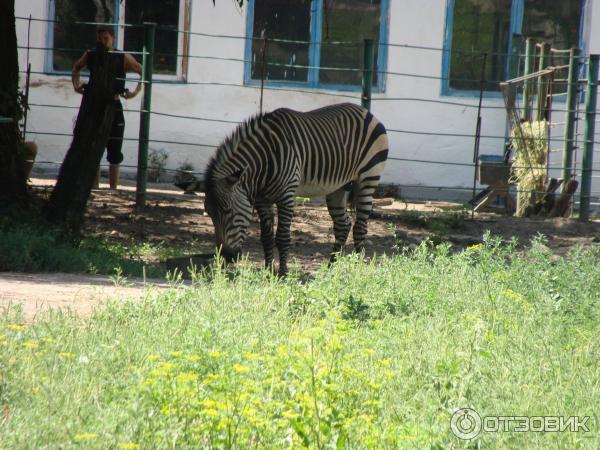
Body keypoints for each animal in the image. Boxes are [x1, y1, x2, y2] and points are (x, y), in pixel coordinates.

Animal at [204, 103, 386, 276]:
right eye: (210, 214)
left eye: (228, 211)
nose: (226, 256)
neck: (264, 163)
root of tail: (365, 111)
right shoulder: (262, 201)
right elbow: (266, 237)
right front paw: (267, 271)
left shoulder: (286, 197)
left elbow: (282, 237)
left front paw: (283, 274)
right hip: (339, 187)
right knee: (343, 225)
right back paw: (330, 270)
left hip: (367, 178)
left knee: (360, 227)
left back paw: (357, 271)